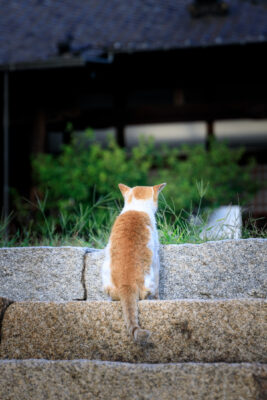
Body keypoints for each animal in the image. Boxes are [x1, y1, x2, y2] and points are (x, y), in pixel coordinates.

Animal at [102, 184, 166, 344]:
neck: (136, 207)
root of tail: (126, 283)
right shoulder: (156, 258)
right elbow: (158, 286)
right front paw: (158, 299)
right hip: (148, 277)